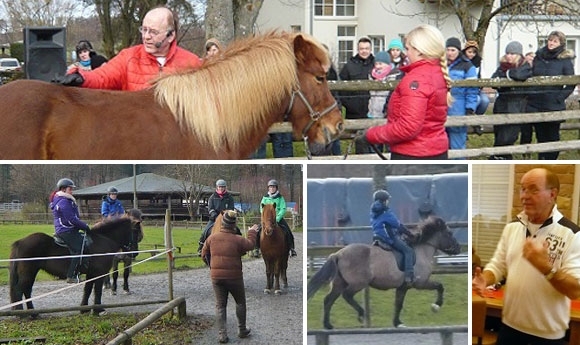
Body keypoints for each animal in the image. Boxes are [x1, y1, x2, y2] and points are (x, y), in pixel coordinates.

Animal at [308, 215, 462, 328]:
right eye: (449, 233)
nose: (458, 248)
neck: (421, 250)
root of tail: (338, 254)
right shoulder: (420, 283)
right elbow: (439, 286)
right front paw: (436, 306)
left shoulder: (403, 287)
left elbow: (398, 304)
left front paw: (397, 323)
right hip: (358, 283)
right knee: (347, 295)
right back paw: (361, 314)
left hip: (339, 283)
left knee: (328, 300)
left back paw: (328, 325)